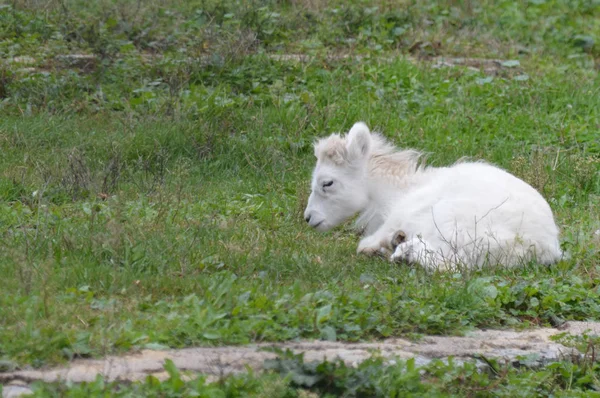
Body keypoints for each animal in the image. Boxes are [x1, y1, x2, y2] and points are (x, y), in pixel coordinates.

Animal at [304, 121, 564, 270]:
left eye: (327, 183)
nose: (309, 218)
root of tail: (537, 248)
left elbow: (365, 244)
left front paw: (380, 246)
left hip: (450, 223)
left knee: (451, 266)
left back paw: (403, 253)